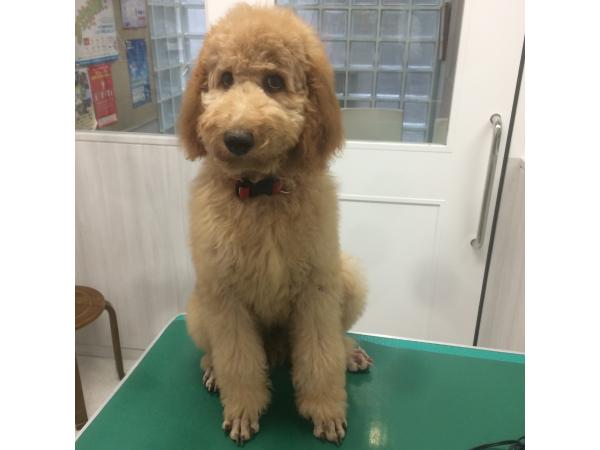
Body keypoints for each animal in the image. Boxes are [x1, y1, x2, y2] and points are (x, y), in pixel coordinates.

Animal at [178, 4, 372, 445]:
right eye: (225, 79)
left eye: (274, 82)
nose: (236, 138)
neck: (260, 192)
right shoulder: (225, 296)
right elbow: (236, 360)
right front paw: (243, 410)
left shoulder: (318, 288)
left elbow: (321, 355)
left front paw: (325, 411)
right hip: (198, 308)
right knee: (213, 352)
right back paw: (212, 371)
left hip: (348, 278)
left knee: (333, 340)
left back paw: (348, 351)